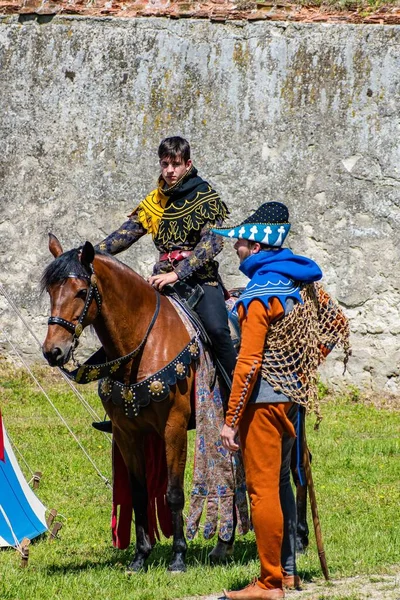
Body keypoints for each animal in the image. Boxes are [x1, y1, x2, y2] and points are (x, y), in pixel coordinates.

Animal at [41, 233, 239, 572]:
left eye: (81, 291)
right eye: (51, 291)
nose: (53, 351)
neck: (144, 342)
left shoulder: (173, 428)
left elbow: (173, 493)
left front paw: (178, 557)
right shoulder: (126, 432)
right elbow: (138, 493)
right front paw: (140, 556)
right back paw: (223, 546)